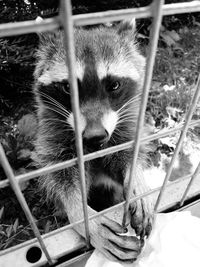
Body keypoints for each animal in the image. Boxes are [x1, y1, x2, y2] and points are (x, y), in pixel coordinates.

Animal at [34, 19, 153, 262]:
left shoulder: (127, 125)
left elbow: (129, 154)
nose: (95, 135)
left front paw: (137, 180)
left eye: (114, 85)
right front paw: (82, 215)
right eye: (67, 88)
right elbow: (60, 177)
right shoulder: (52, 135)